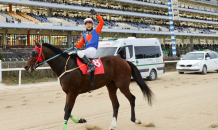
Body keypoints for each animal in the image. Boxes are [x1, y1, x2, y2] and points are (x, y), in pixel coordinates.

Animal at [24, 42, 153, 130]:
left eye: (34, 53)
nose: (26, 67)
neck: (66, 66)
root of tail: (125, 61)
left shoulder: (72, 92)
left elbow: (67, 111)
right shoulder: (69, 93)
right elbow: (66, 110)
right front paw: (81, 120)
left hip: (123, 85)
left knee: (132, 98)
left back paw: (135, 120)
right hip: (111, 86)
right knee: (115, 104)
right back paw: (112, 125)